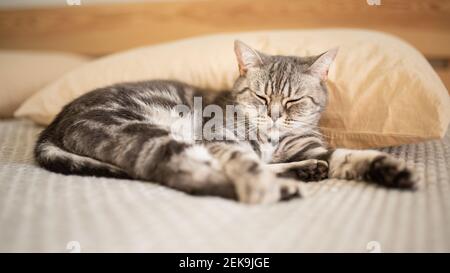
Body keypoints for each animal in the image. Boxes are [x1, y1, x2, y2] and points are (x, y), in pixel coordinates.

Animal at [33, 39, 416, 202]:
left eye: (293, 100)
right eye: (261, 97)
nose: (274, 115)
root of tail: (53, 124)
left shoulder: (314, 147)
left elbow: (349, 157)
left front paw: (388, 170)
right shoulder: (221, 139)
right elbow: (246, 164)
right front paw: (262, 184)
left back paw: (303, 171)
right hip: (148, 133)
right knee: (185, 175)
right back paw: (283, 187)